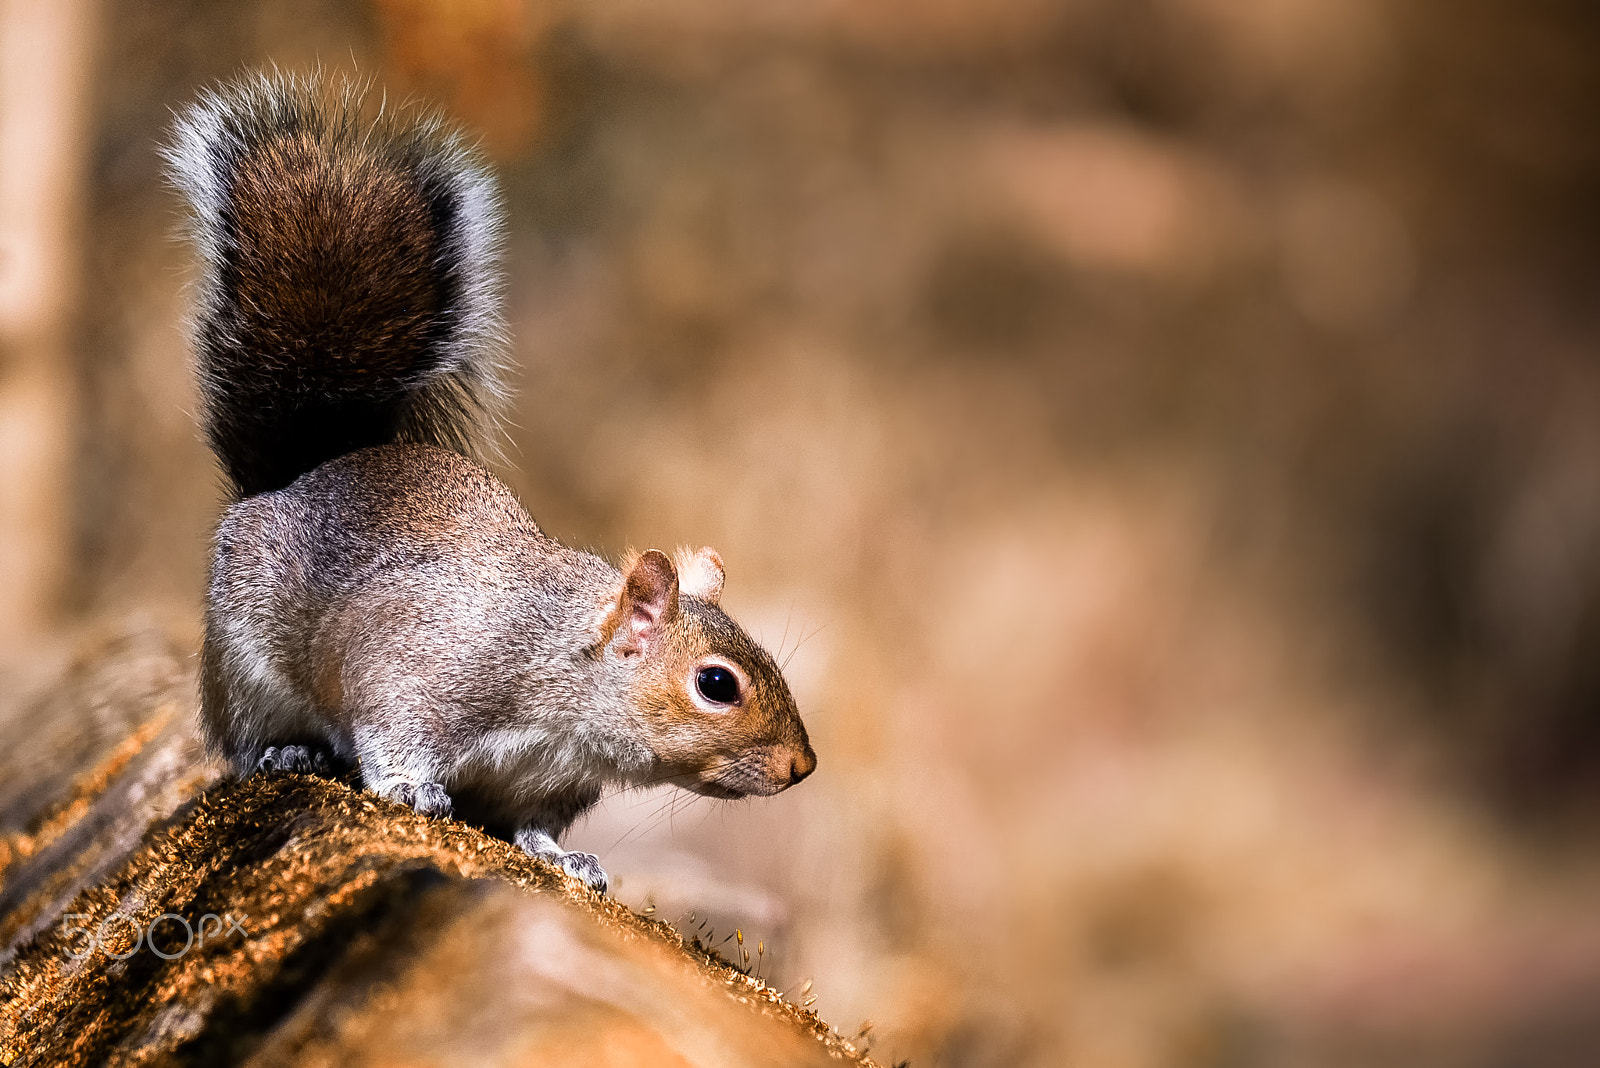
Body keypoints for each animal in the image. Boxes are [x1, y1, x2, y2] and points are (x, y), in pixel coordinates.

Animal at [165, 73, 816, 893]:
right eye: (718, 684)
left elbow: (533, 826)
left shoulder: (549, 782)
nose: (803, 766)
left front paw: (567, 858)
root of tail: (298, 476)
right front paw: (411, 789)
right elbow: (393, 731)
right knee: (243, 739)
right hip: (242, 663)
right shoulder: (419, 665)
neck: (565, 691)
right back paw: (287, 750)